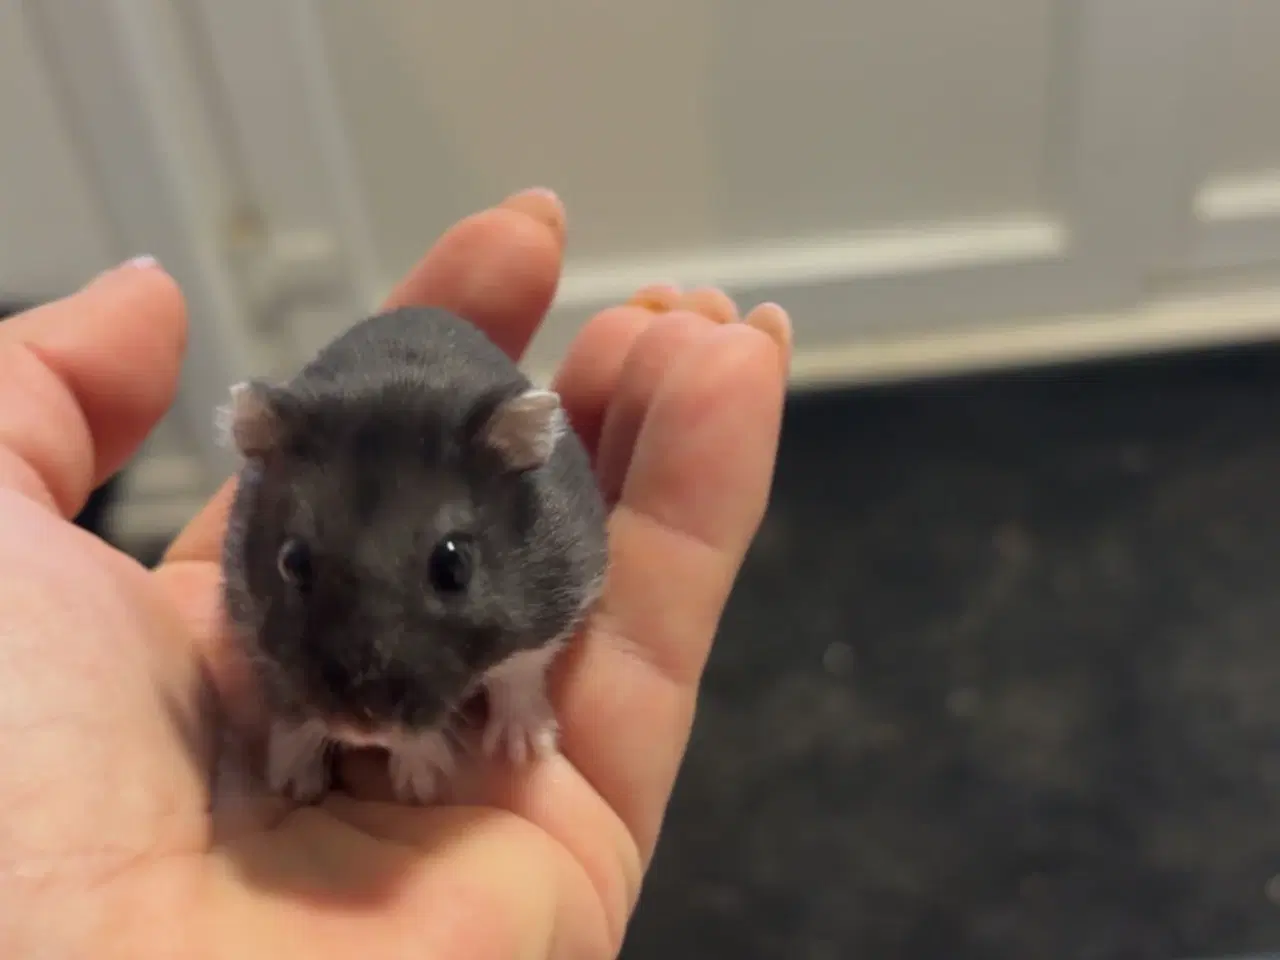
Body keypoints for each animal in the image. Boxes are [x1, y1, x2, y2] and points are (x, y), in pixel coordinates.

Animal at [217, 305, 609, 804]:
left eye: (454, 566)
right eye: (292, 563)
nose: (361, 729)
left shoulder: (560, 593)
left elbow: (518, 670)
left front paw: (524, 751)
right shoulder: (250, 620)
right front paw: (421, 780)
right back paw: (294, 778)